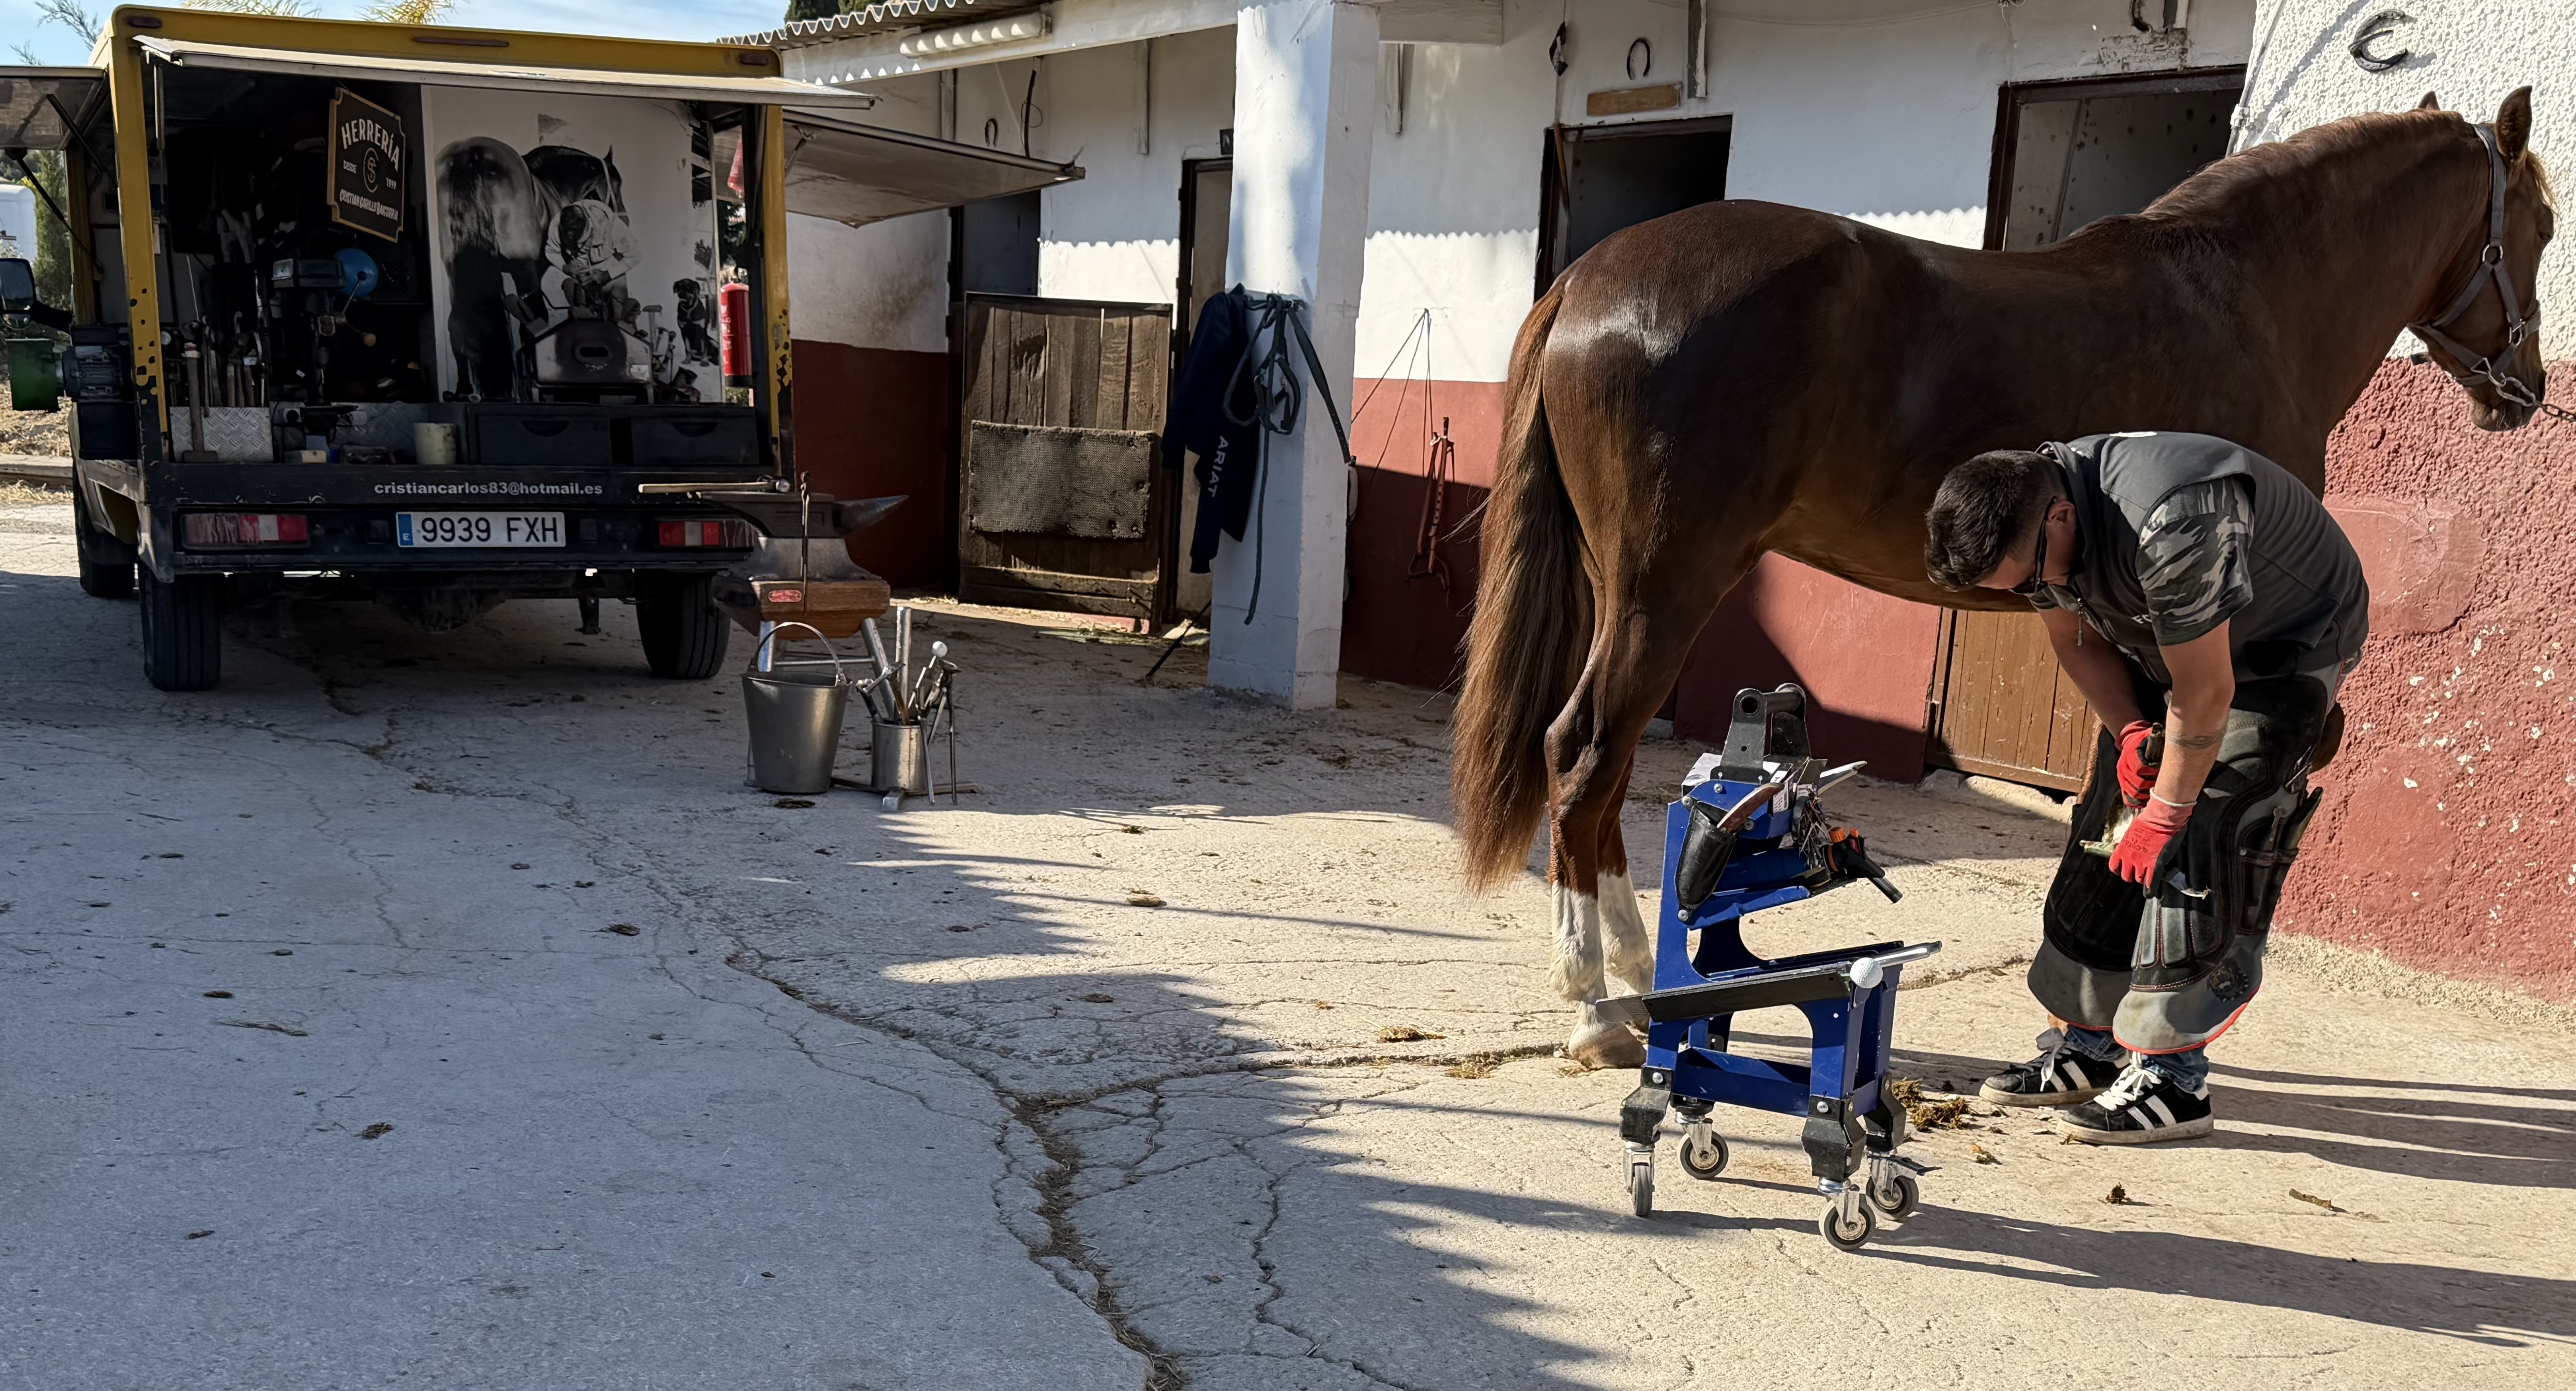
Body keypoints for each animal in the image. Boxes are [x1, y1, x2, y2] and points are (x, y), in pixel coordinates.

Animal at [1451, 90, 2556, 1069]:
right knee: (1584, 754)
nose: (2527, 390)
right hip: (1662, 587)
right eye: (2542, 227)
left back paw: (1639, 982)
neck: (2248, 299)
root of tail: (1589, 279)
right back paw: (1603, 1007)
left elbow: (2126, 780)